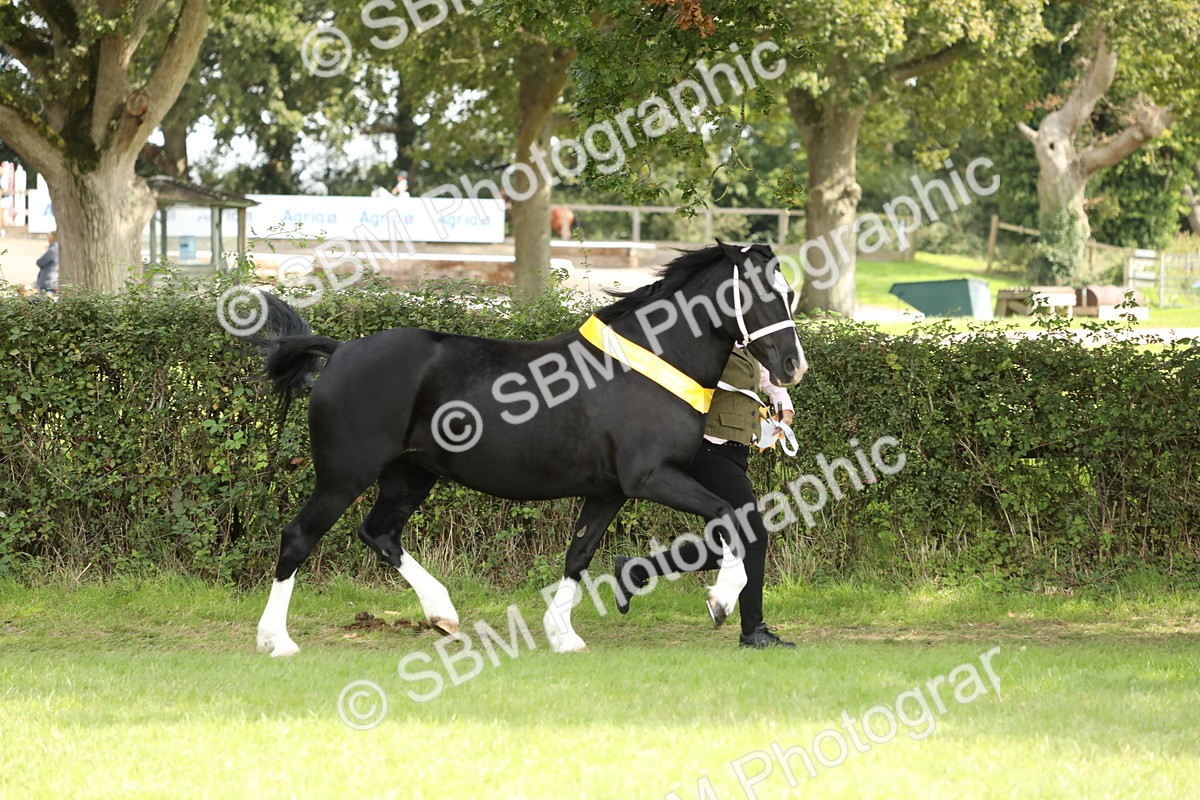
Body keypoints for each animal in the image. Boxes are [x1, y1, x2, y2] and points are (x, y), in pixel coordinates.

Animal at [244, 240, 807, 656]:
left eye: (789, 292)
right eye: (761, 292)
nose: (792, 366)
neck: (651, 364)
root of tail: (341, 349)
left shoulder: (609, 490)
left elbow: (579, 553)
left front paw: (565, 634)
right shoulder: (652, 477)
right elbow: (727, 514)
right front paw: (720, 600)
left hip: (411, 474)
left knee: (379, 533)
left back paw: (444, 614)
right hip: (345, 476)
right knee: (298, 538)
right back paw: (277, 641)